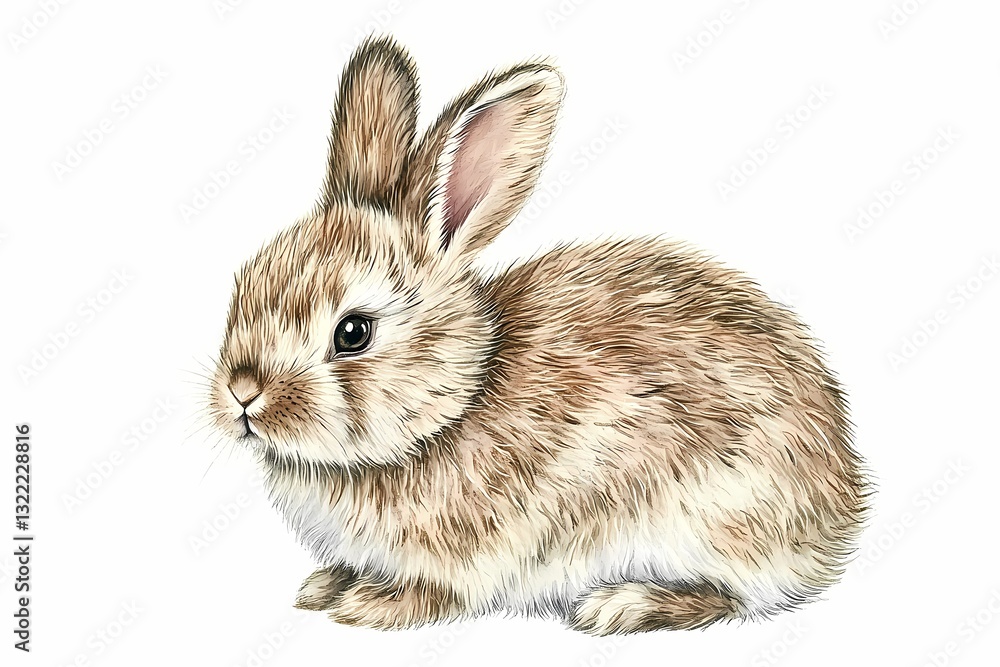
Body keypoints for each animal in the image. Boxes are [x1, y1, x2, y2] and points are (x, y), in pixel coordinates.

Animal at [206, 35, 870, 635]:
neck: (454, 405)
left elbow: (438, 593)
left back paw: (622, 605)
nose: (242, 392)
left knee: (732, 596)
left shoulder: (470, 552)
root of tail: (843, 508)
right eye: (244, 282)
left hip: (711, 518)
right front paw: (323, 587)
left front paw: (370, 606)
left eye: (353, 332)